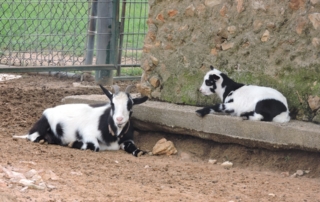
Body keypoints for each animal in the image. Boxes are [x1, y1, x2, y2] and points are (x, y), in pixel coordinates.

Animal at [13, 84, 149, 157]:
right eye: (112, 104)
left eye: (130, 105)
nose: (119, 119)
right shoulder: (88, 134)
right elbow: (95, 146)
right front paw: (73, 143)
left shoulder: (128, 139)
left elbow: (134, 148)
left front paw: (141, 152)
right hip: (42, 124)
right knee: (32, 136)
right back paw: (44, 140)